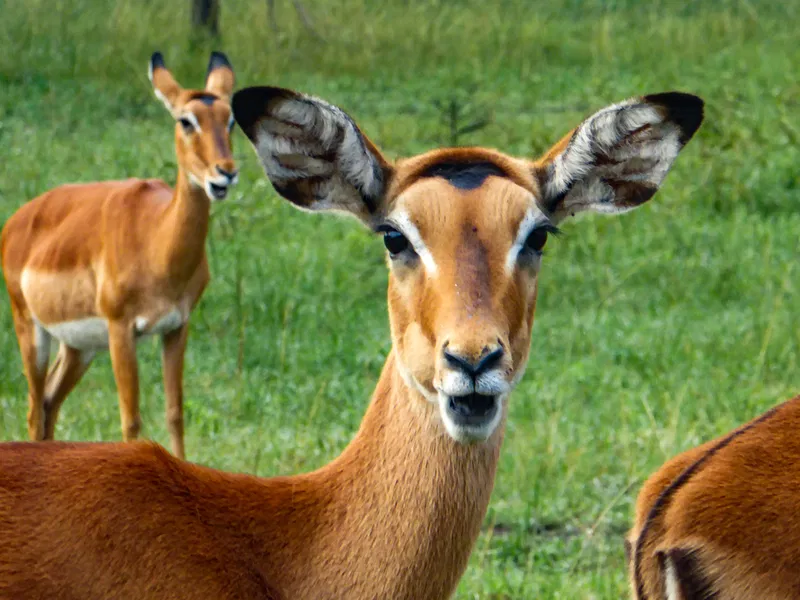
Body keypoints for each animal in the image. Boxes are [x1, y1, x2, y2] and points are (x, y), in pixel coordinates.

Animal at [0, 52, 238, 459]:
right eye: (185, 120)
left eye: (230, 119)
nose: (225, 174)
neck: (157, 242)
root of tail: (16, 220)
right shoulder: (121, 329)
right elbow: (131, 420)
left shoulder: (176, 326)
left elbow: (175, 414)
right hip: (31, 329)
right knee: (34, 410)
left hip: (78, 347)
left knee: (49, 404)